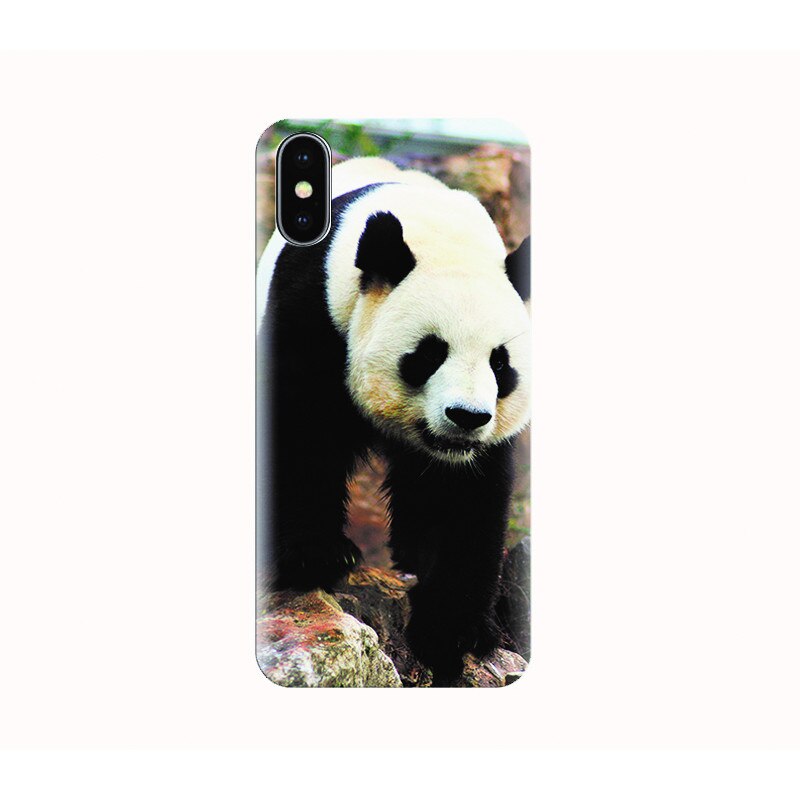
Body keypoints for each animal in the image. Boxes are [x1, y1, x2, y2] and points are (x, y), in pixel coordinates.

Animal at [257, 157, 531, 685]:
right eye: (429, 352)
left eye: (500, 363)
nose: (466, 417)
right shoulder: (316, 314)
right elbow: (301, 432)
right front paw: (315, 555)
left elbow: (462, 493)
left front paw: (454, 628)